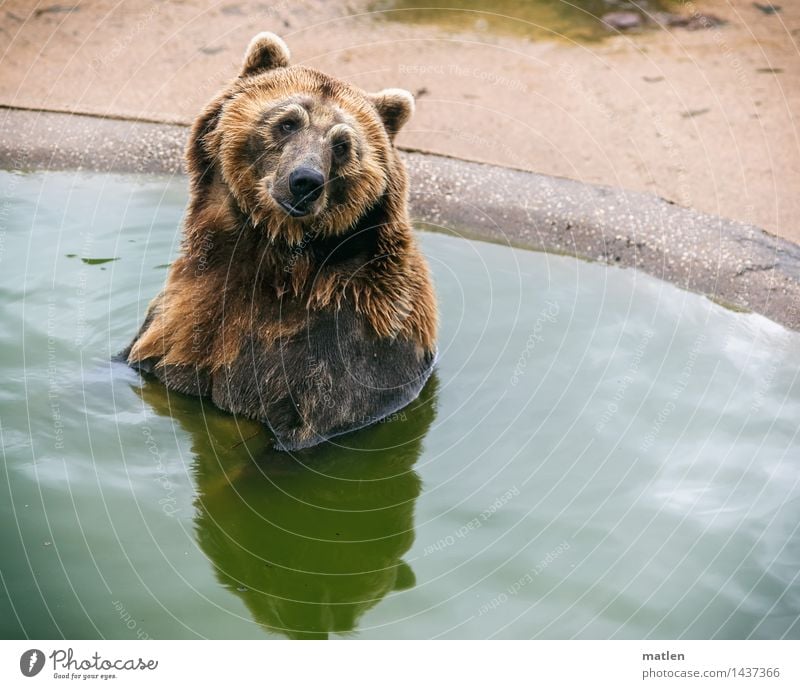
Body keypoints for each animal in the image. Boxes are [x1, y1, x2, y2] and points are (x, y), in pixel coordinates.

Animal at [124, 33, 438, 452]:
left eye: (342, 145)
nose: (305, 181)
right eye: (288, 122)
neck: (270, 254)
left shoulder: (348, 347)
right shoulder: (184, 318)